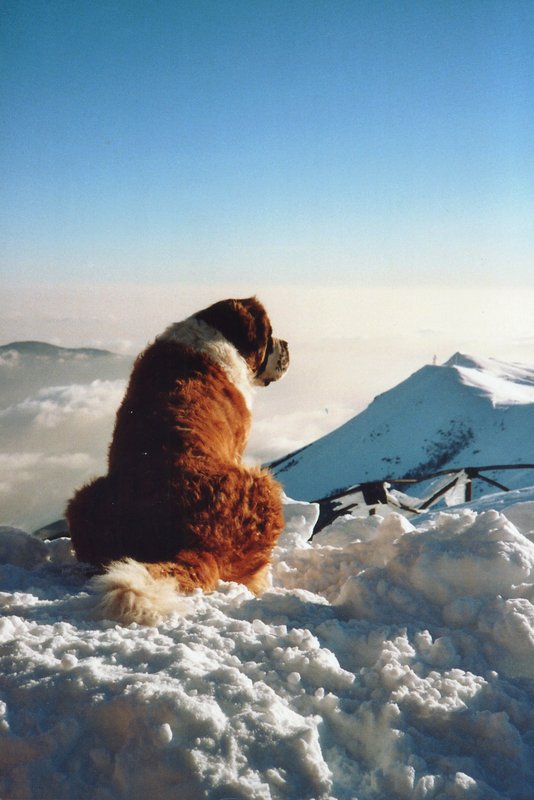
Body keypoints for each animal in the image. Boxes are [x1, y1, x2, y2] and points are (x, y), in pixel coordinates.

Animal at [68, 296, 292, 624]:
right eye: (271, 333)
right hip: (263, 484)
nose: (286, 345)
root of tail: (193, 541)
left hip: (83, 498)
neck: (218, 333)